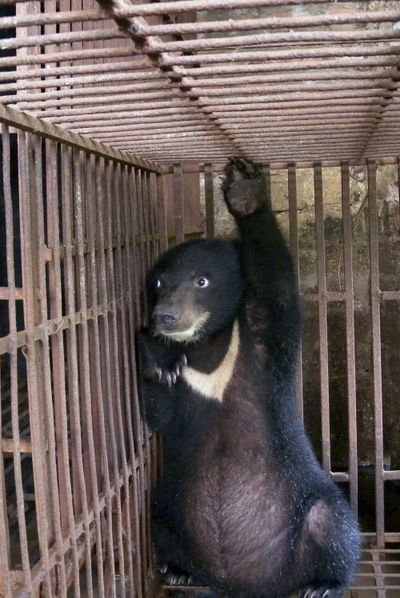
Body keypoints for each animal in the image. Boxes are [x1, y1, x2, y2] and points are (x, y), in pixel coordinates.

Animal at [139, 159, 360, 598]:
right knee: (160, 523)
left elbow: (276, 284)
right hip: (171, 504)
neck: (209, 345)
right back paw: (177, 570)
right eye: (157, 283)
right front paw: (160, 356)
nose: (165, 317)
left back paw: (322, 584)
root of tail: (246, 584)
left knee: (333, 524)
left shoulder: (264, 337)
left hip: (307, 508)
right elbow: (160, 411)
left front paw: (245, 193)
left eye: (202, 281)